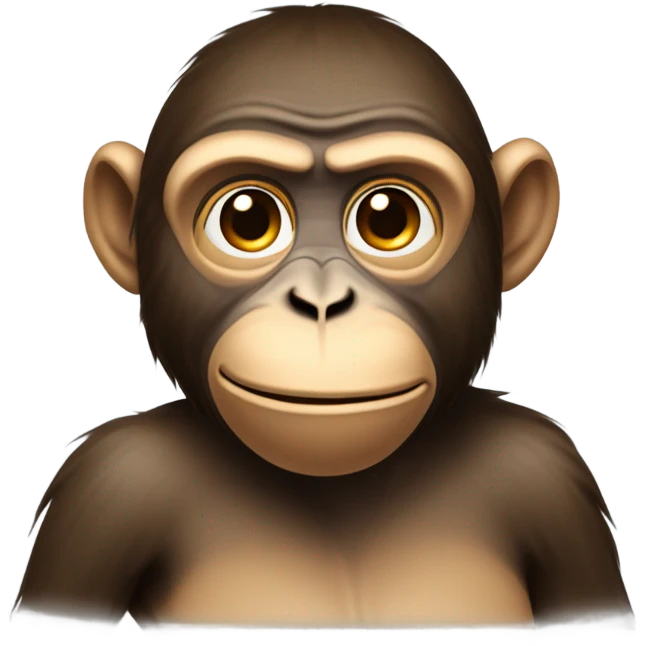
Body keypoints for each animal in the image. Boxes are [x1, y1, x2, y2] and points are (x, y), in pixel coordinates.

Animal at [16, 3, 631, 628]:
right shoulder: (112, 482)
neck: (339, 489)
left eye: (388, 218)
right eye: (246, 218)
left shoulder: (545, 466)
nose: (321, 303)